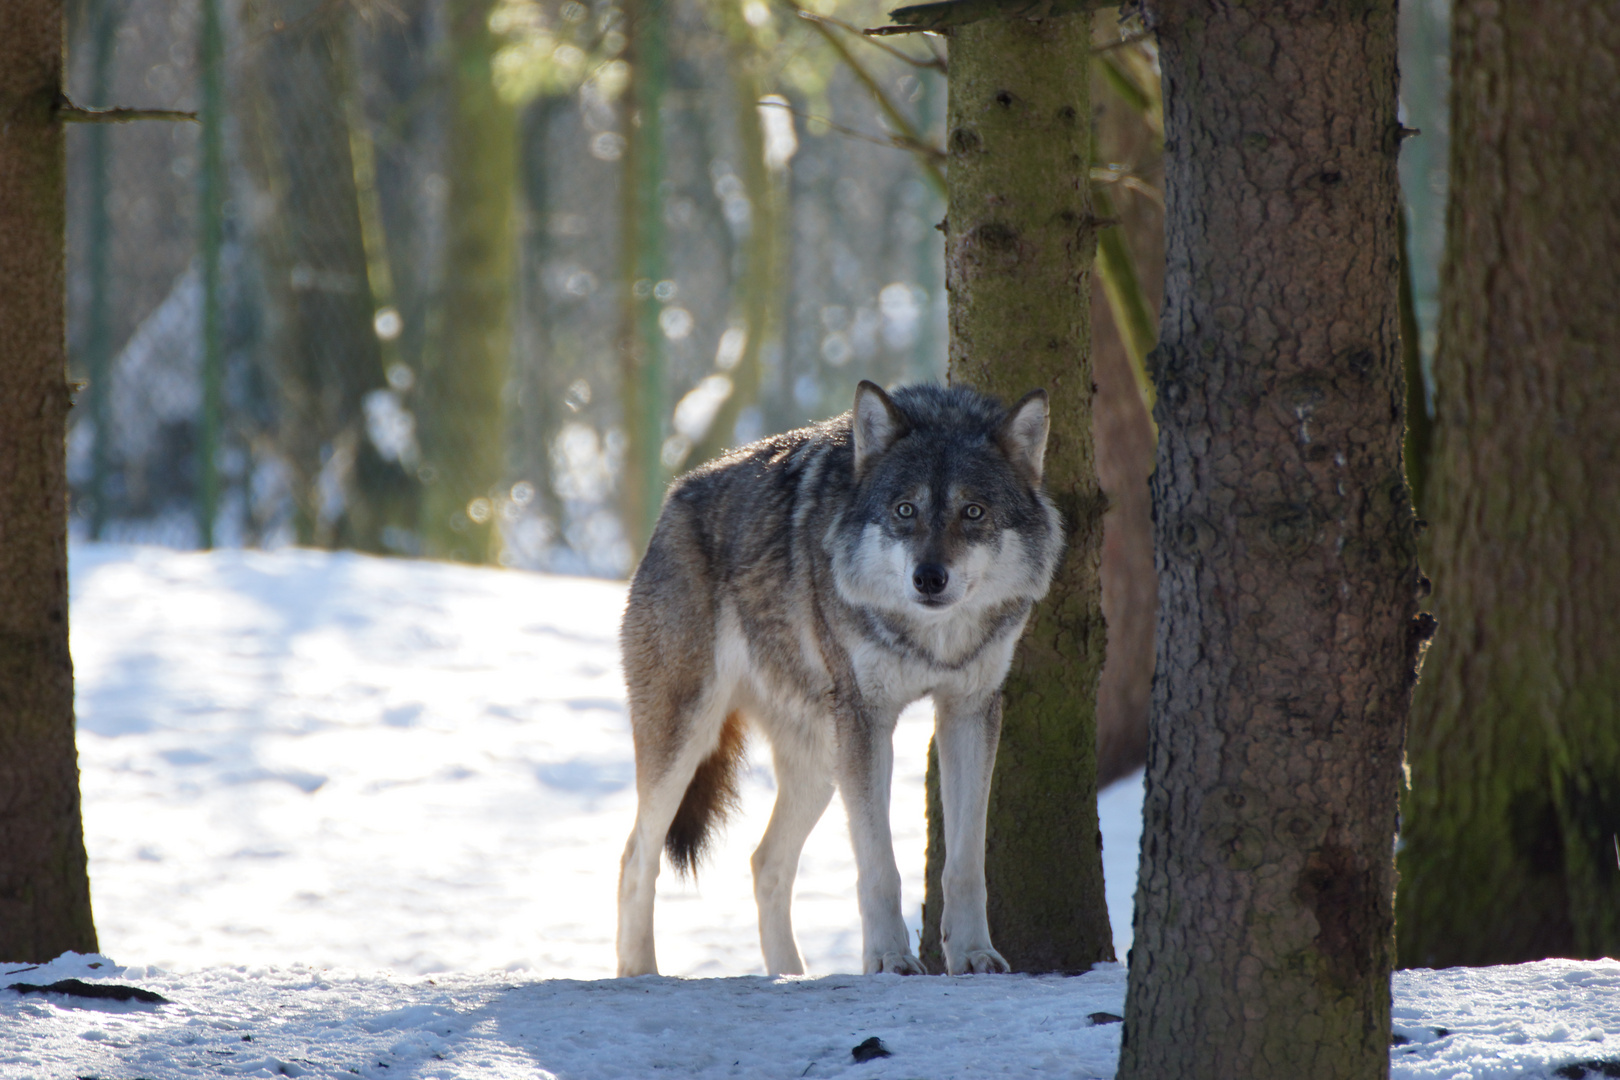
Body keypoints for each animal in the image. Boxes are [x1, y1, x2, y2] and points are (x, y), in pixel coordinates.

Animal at [612, 380, 1056, 977]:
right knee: (636, 857)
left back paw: (789, 976)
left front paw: (974, 954)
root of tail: (675, 496)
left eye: (974, 512)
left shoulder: (969, 711)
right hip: (688, 740)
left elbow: (965, 865)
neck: (931, 639)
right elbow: (880, 866)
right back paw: (642, 973)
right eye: (905, 510)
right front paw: (889, 958)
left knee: (765, 862)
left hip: (822, 761)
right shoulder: (868, 722)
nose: (929, 577)